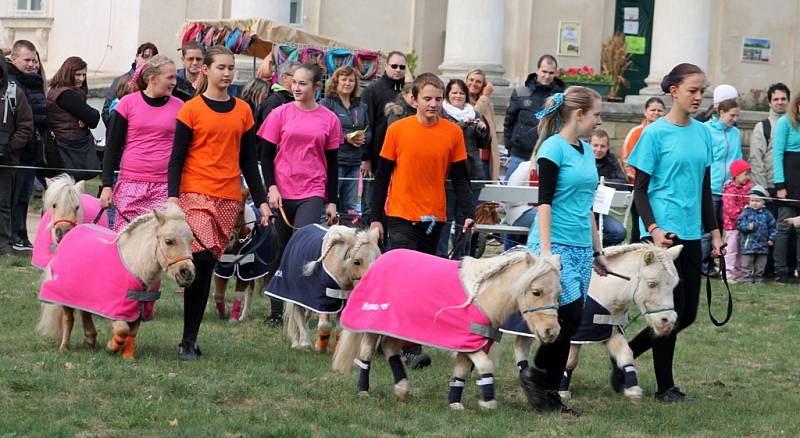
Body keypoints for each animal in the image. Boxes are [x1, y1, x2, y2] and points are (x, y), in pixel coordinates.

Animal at [36, 204, 196, 358]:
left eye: (191, 241)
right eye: (169, 241)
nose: (187, 273)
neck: (135, 264)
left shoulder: (139, 309)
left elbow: (132, 333)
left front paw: (127, 356)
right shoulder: (117, 309)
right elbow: (122, 330)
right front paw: (111, 347)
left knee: (85, 312)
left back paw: (90, 340)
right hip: (65, 295)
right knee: (68, 319)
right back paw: (64, 347)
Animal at [332, 250, 564, 410]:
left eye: (559, 294)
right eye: (536, 291)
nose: (551, 332)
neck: (482, 296)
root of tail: (379, 261)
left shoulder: (468, 344)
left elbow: (461, 372)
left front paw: (454, 403)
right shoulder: (470, 343)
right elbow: (486, 366)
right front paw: (487, 403)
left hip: (398, 327)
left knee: (390, 348)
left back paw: (402, 388)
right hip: (372, 323)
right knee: (366, 354)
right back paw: (364, 390)